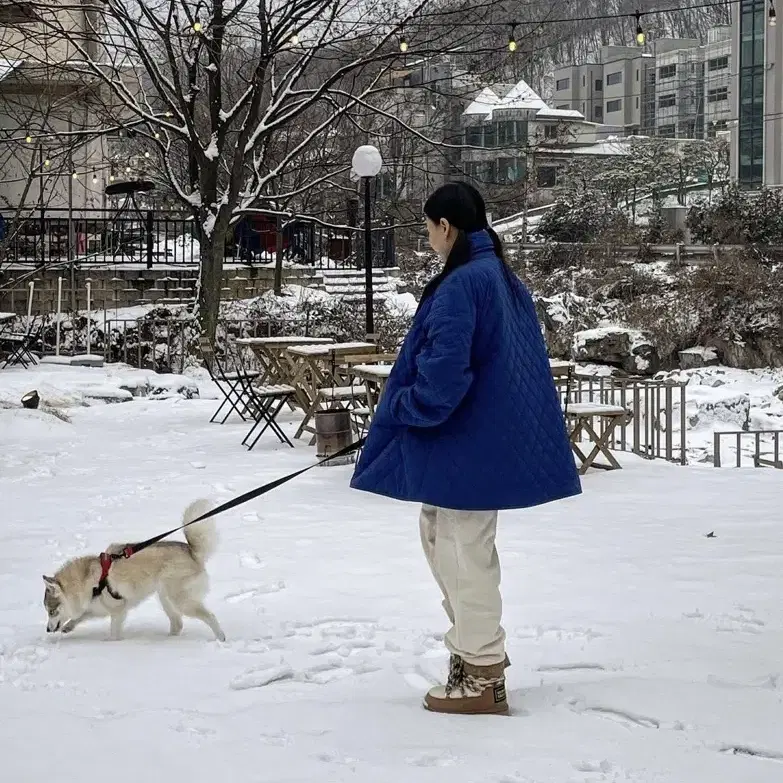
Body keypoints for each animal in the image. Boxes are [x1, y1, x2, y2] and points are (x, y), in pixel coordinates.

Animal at [42, 502, 225, 644]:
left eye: (51, 611)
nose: (48, 630)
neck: (87, 581)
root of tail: (192, 552)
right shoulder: (95, 606)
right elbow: (80, 616)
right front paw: (68, 626)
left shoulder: (117, 609)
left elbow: (113, 631)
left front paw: (109, 643)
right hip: (165, 598)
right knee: (178, 623)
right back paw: (167, 640)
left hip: (180, 599)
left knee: (210, 616)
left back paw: (220, 638)